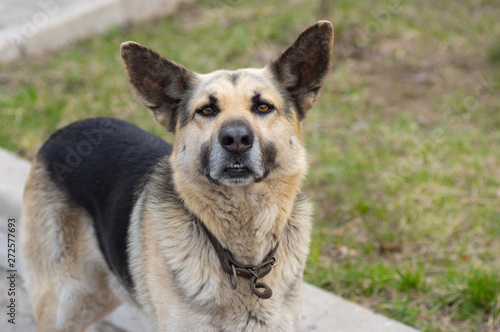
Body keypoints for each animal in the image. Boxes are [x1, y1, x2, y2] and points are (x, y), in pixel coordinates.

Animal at [20, 21, 332, 332]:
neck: (241, 260)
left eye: (263, 107)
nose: (236, 140)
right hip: (65, 302)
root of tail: (61, 132)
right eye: (207, 110)